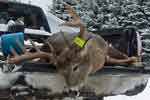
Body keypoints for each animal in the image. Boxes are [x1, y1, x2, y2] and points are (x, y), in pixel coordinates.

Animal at [7, 4, 137, 89]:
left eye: (75, 67)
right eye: (60, 72)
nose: (72, 90)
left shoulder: (106, 53)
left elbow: (121, 58)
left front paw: (133, 59)